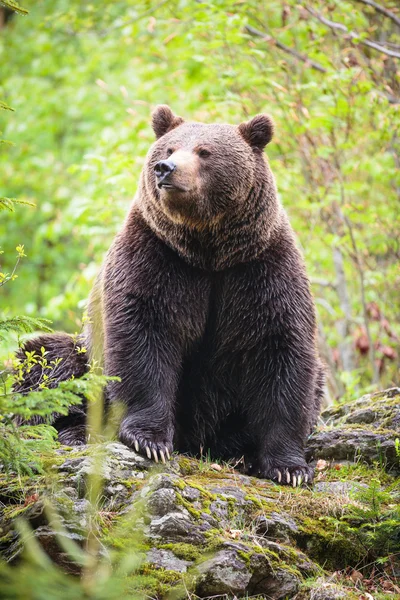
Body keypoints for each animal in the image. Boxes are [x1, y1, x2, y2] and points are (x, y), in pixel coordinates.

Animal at [14, 105, 324, 486]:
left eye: (205, 151)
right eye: (169, 148)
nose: (165, 168)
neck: (208, 251)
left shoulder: (259, 268)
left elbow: (281, 350)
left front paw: (289, 467)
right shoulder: (156, 257)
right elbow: (144, 336)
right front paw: (149, 440)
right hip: (86, 358)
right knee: (47, 361)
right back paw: (73, 431)